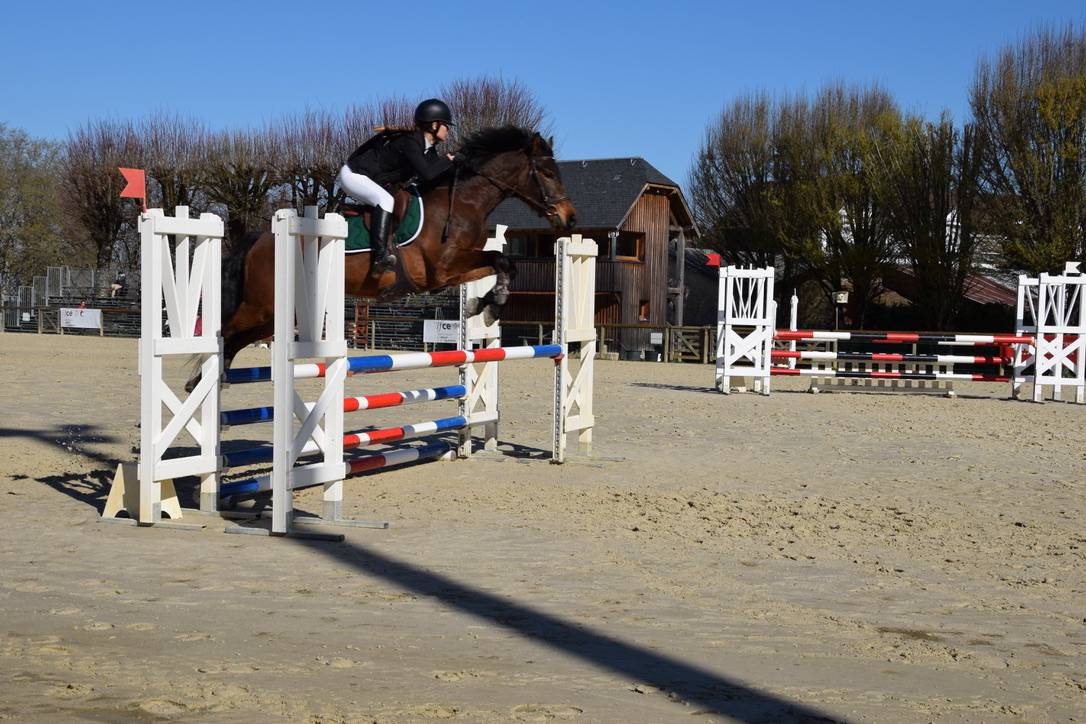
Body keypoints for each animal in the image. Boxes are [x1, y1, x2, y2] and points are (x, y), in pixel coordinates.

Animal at [186, 126, 576, 392]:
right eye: (547, 173)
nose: (570, 218)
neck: (462, 202)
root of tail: (262, 238)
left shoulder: (455, 272)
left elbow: (502, 263)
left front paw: (483, 305)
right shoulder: (443, 268)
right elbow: (500, 259)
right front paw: (489, 305)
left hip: (278, 314)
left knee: (235, 340)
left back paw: (209, 383)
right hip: (262, 306)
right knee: (223, 333)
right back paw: (200, 383)